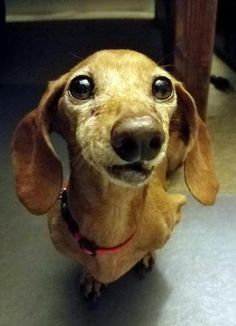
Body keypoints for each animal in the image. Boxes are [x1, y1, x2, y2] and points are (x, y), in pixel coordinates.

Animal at [10, 49, 218, 300]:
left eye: (162, 86)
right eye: (80, 86)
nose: (140, 137)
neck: (113, 217)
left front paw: (146, 255)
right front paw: (91, 276)